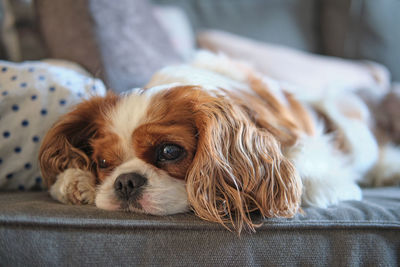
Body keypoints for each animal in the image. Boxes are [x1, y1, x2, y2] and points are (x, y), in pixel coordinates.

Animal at [39, 51, 398, 233]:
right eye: (102, 162)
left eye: (169, 151)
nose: (126, 182)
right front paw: (75, 180)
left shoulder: (319, 169)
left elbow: (308, 180)